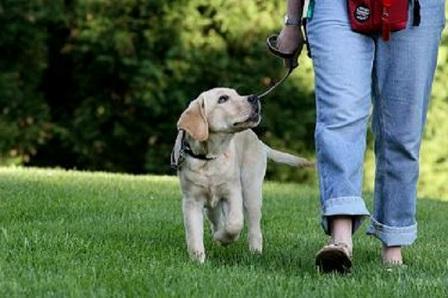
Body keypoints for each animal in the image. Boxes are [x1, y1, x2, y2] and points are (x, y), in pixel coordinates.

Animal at [172, 87, 312, 262]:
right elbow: (194, 233)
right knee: (216, 218)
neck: (209, 157)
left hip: (251, 190)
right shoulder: (191, 200)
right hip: (213, 204)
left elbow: (235, 223)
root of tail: (260, 142)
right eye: (222, 99)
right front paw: (198, 260)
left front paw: (223, 237)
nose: (254, 97)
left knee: (253, 226)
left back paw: (255, 251)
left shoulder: (233, 192)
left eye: (237, 93)